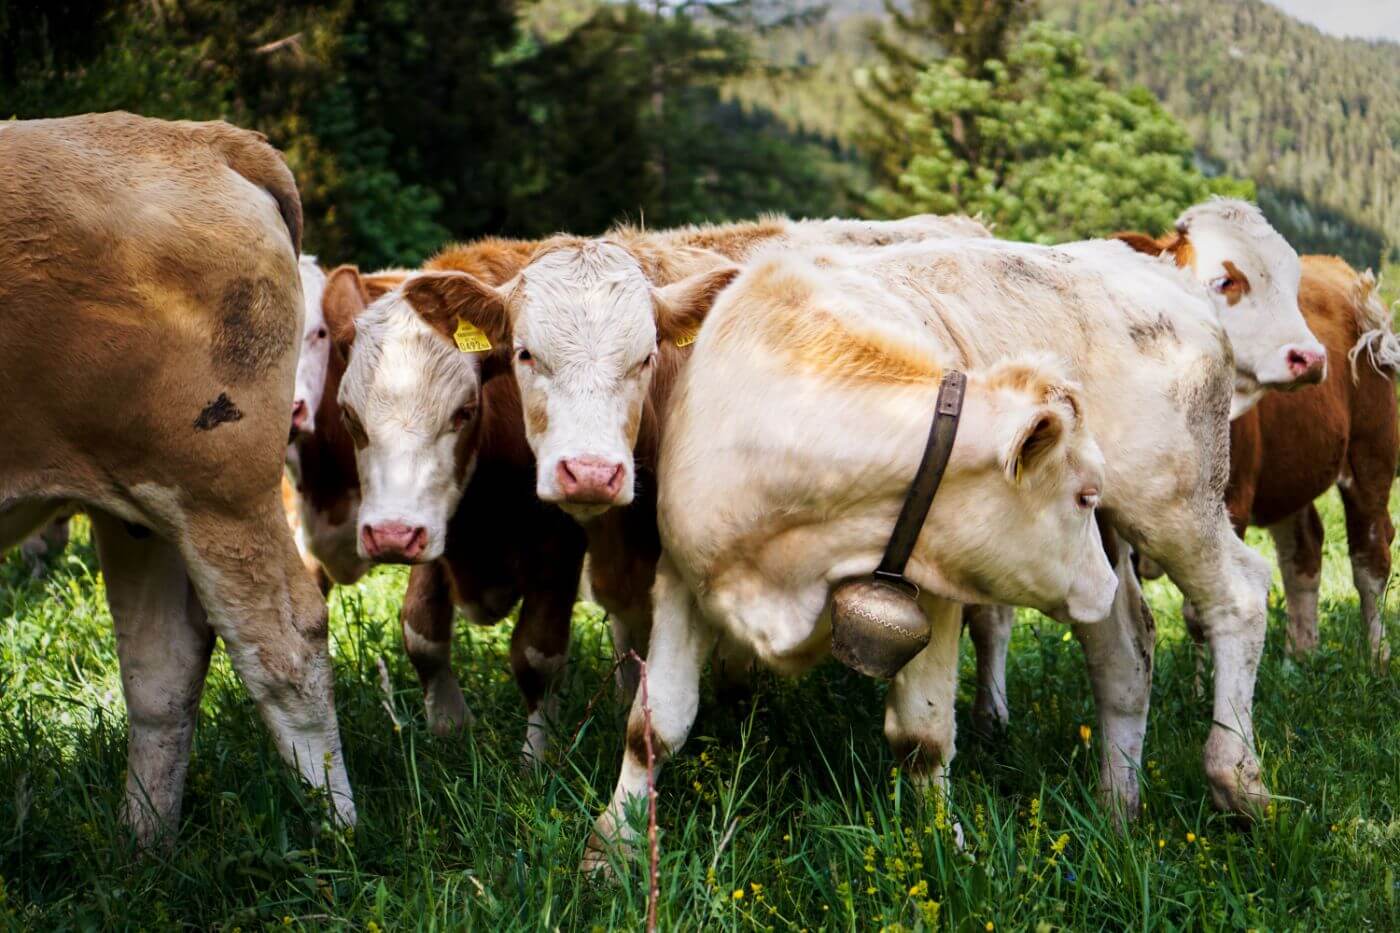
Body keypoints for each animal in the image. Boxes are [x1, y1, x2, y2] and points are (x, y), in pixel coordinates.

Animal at [0, 112, 355, 840]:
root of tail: (203, 137)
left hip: (217, 490)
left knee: (286, 647)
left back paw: (339, 832)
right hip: (140, 502)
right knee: (161, 669)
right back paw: (141, 850)